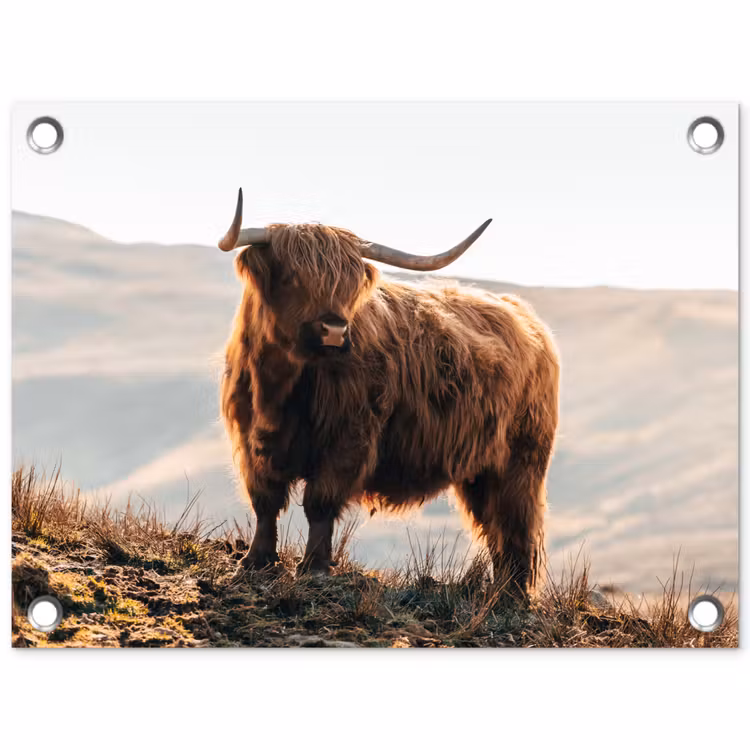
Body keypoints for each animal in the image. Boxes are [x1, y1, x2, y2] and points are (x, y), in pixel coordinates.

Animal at [219, 189, 559, 595]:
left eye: (349, 284)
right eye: (291, 277)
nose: (334, 330)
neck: (279, 387)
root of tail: (524, 316)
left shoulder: (349, 438)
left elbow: (320, 502)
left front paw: (315, 567)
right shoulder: (250, 439)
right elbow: (265, 500)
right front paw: (255, 562)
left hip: (521, 460)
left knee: (515, 524)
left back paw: (512, 595)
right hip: (480, 470)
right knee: (495, 526)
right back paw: (499, 591)